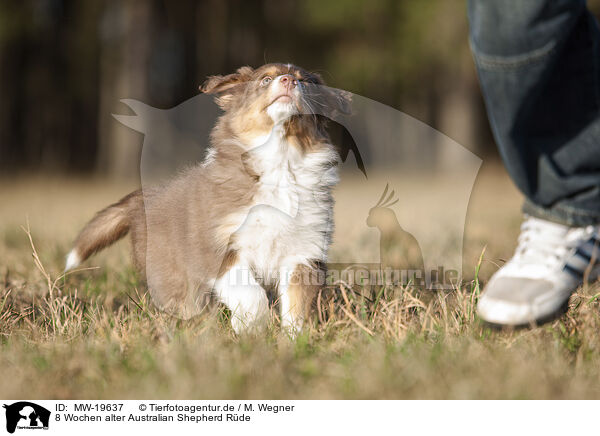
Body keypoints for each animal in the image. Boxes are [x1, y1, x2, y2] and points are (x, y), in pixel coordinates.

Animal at [65, 62, 350, 334]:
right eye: (266, 79)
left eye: (307, 82)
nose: (289, 80)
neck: (280, 160)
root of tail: (143, 199)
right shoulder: (216, 246)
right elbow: (250, 293)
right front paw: (250, 329)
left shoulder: (304, 251)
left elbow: (296, 304)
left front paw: (294, 339)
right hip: (169, 272)